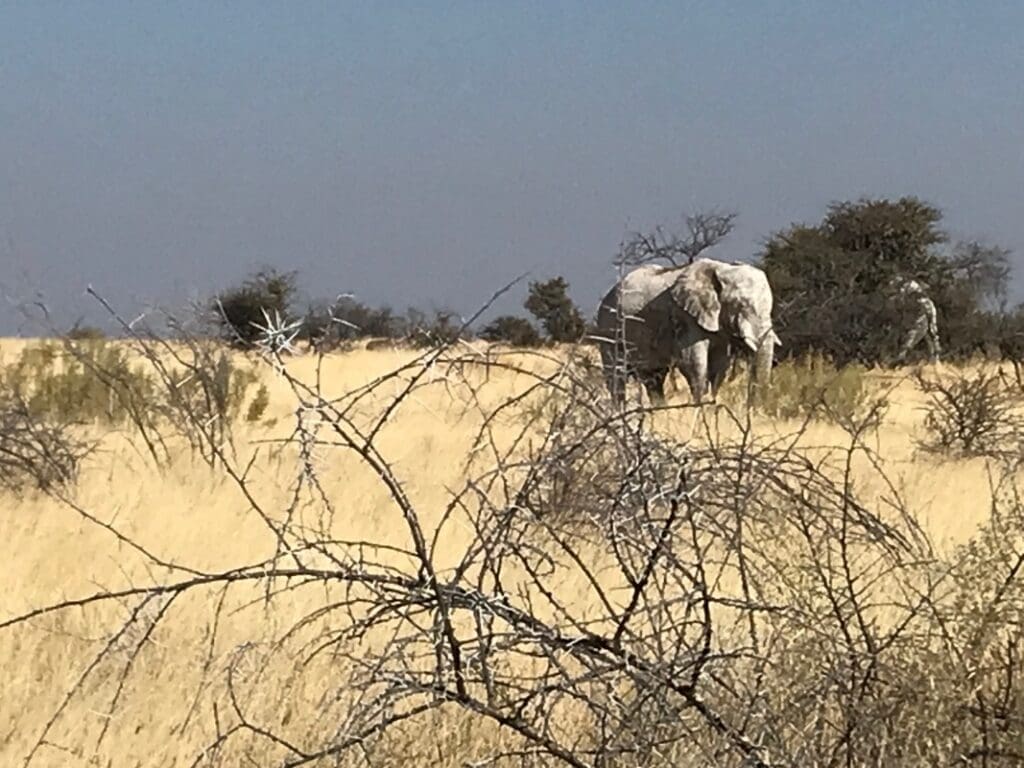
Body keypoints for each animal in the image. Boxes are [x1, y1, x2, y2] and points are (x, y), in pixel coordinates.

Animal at [589, 260, 778, 409]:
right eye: (741, 305)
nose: (752, 409)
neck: (722, 268)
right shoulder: (686, 317)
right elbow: (692, 364)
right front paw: (700, 409)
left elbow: (719, 368)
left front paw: (712, 407)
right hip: (608, 329)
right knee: (617, 378)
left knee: (653, 379)